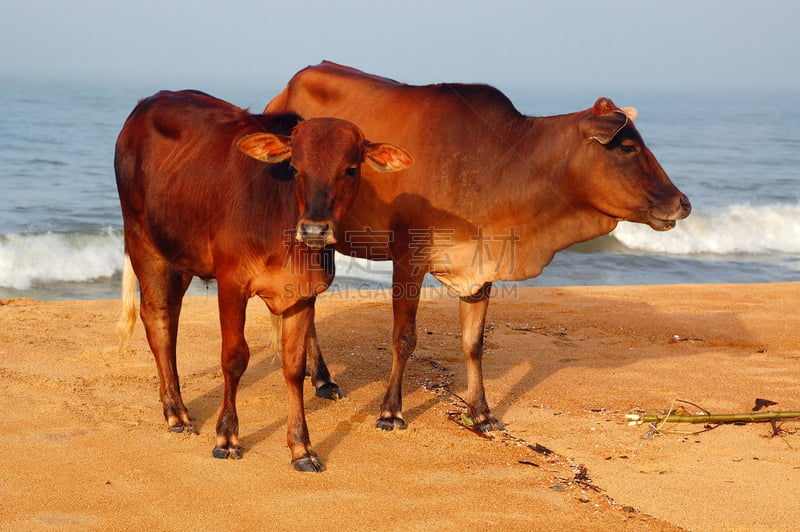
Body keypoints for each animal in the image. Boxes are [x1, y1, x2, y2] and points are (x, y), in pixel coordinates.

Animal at [114, 89, 412, 472]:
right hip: (144, 244)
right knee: (157, 319)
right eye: (295, 167)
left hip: (179, 257)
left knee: (169, 318)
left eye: (350, 169)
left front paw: (302, 448)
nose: (314, 230)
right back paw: (175, 413)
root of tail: (148, 102)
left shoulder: (303, 294)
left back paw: (177, 404)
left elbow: (294, 368)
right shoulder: (231, 284)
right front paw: (226, 437)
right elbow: (234, 358)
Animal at [266, 62, 692, 434]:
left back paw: (321, 379)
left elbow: (474, 344)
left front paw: (481, 412)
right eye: (626, 148)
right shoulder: (408, 259)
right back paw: (321, 378)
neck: (505, 165)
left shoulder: (482, 266)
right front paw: (391, 411)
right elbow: (404, 338)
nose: (683, 203)